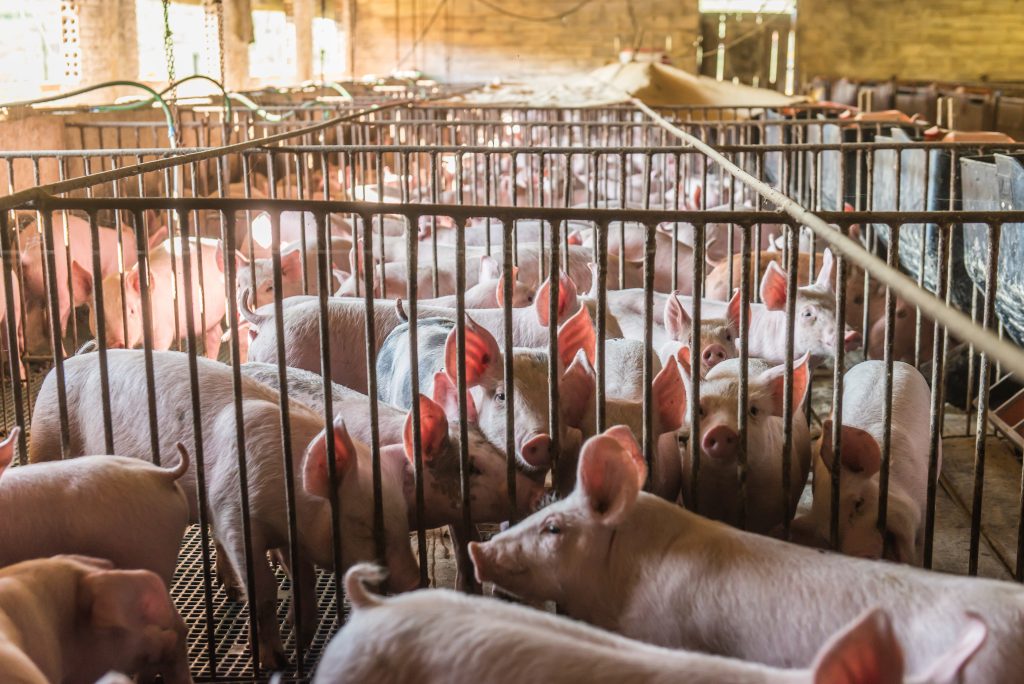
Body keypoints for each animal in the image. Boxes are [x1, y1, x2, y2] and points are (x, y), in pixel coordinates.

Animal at [28, 349, 418, 669]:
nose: (417, 582)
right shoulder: (235, 513)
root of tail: (59, 367)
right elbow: (263, 589)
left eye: (404, 523)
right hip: (44, 438)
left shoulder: (289, 534)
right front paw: (274, 661)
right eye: (367, 526)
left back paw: (228, 588)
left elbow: (303, 579)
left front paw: (303, 642)